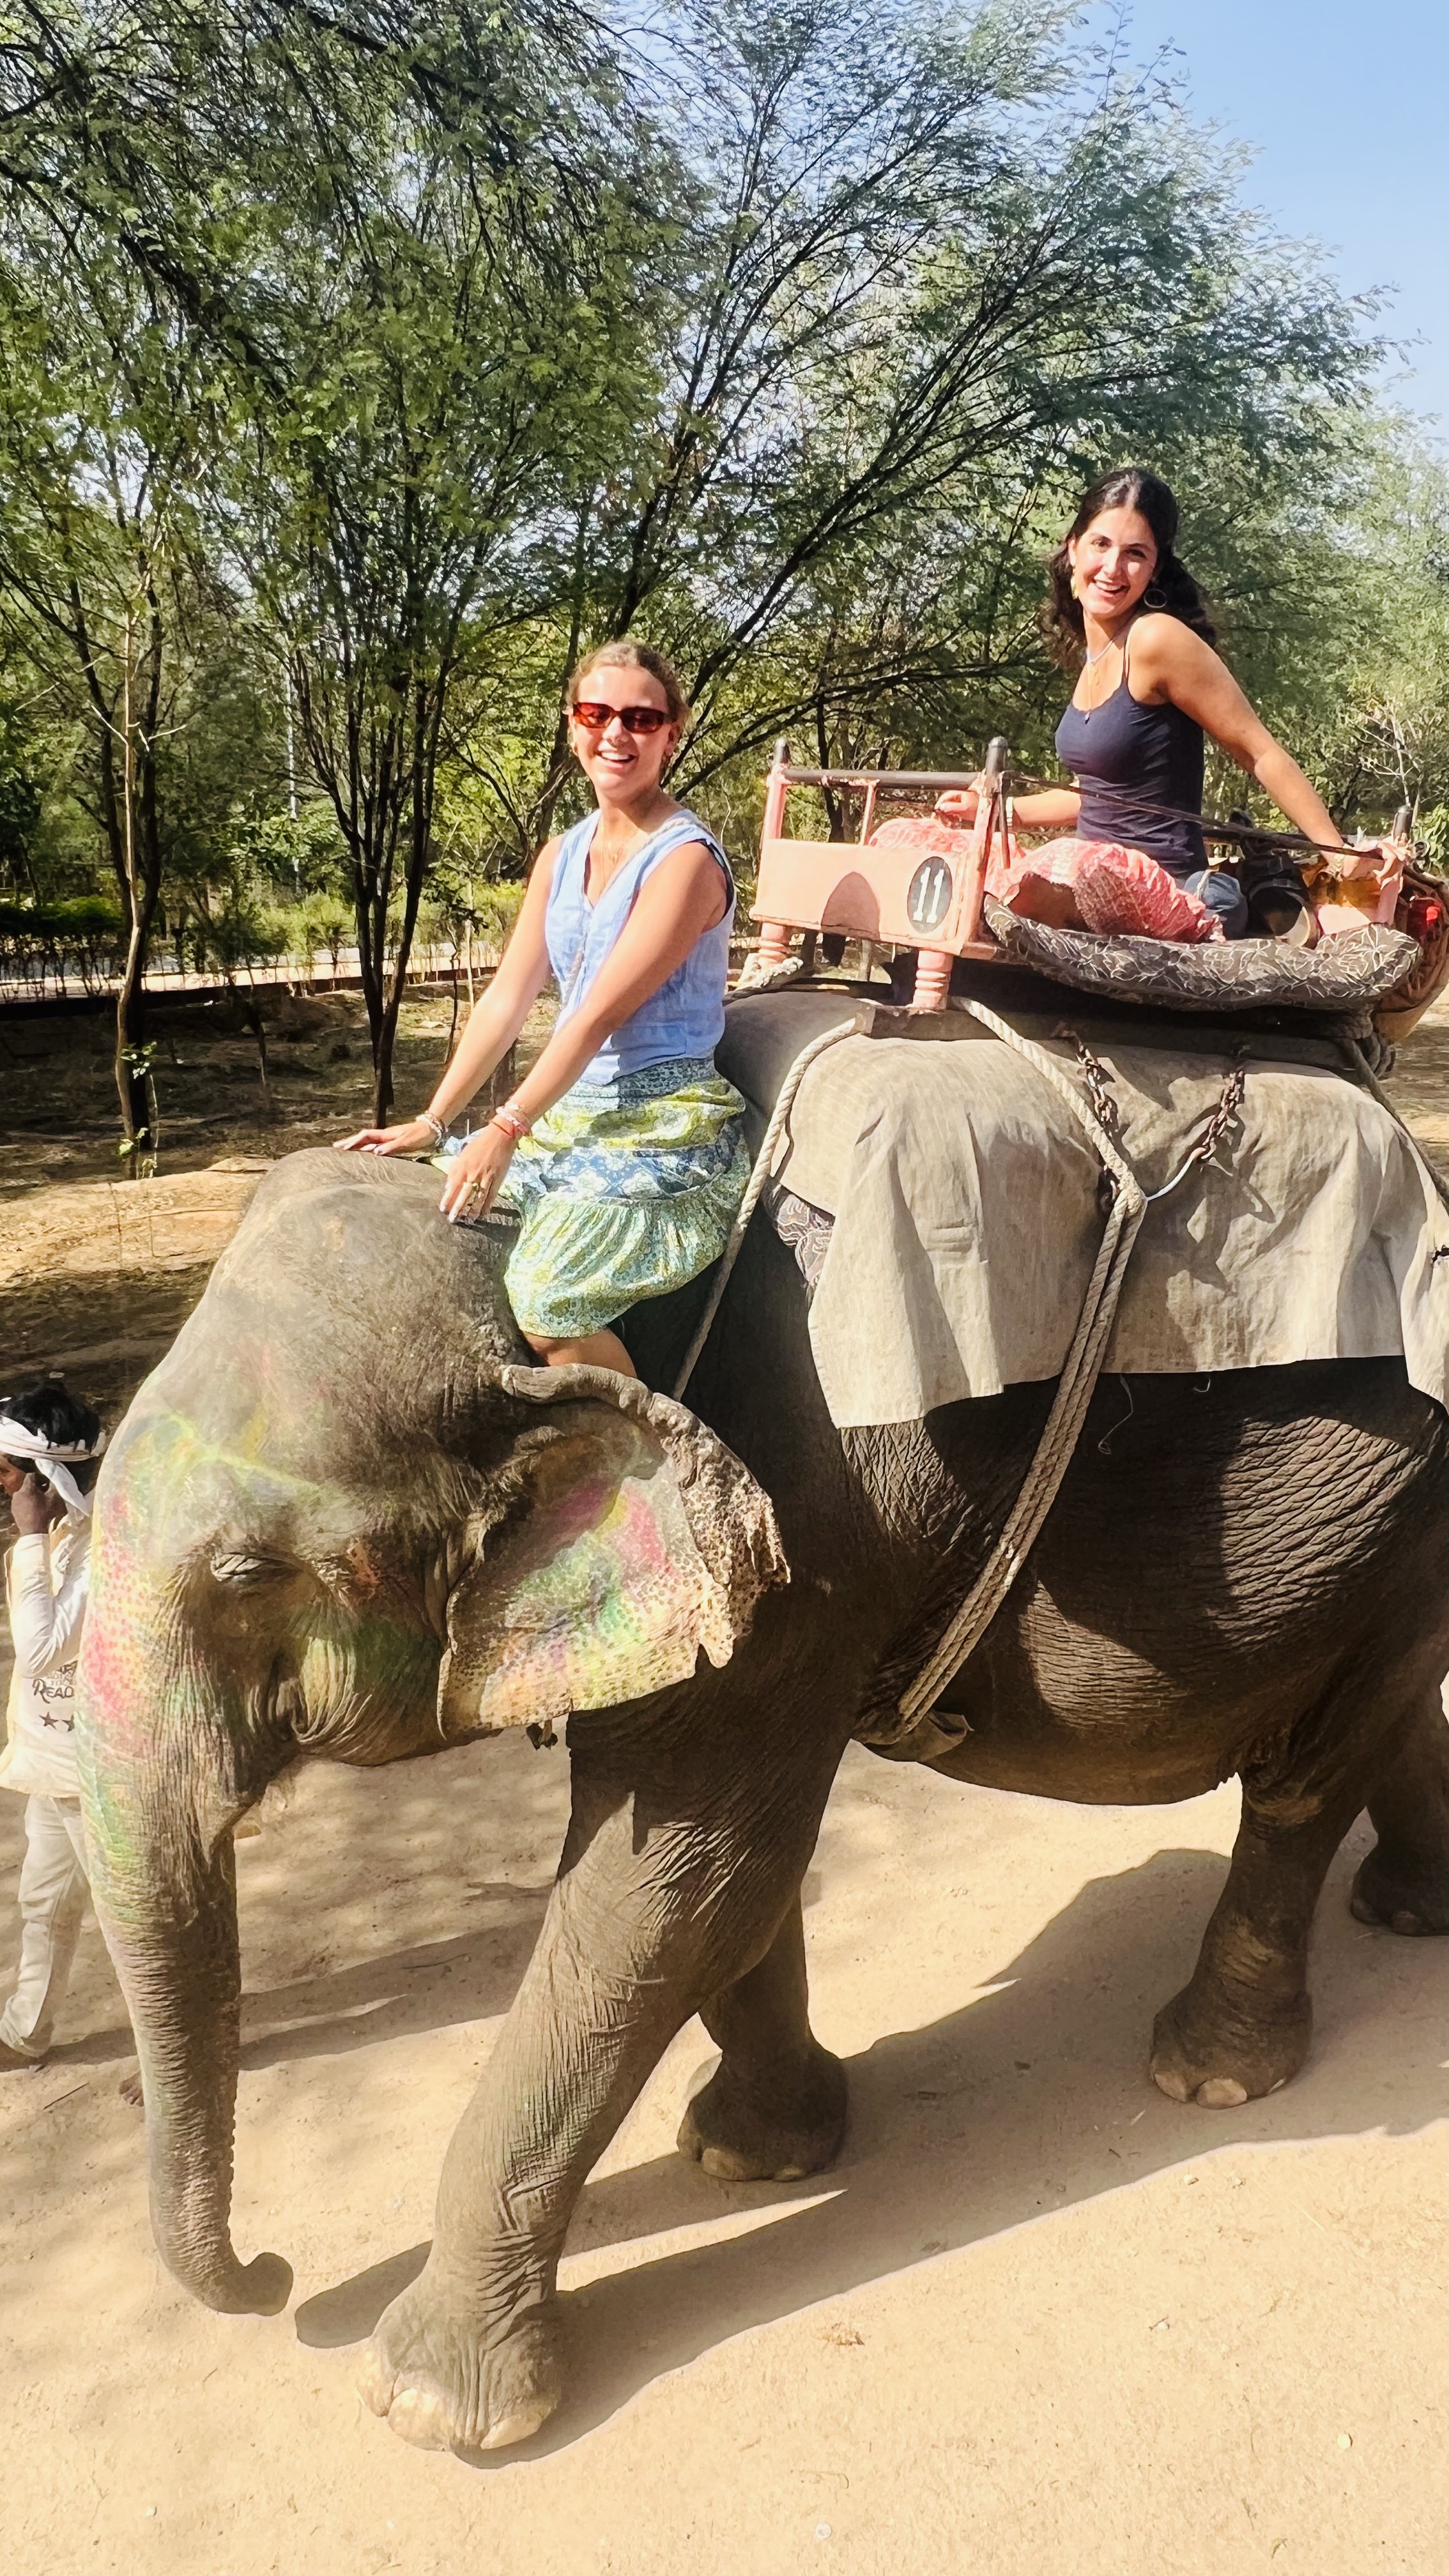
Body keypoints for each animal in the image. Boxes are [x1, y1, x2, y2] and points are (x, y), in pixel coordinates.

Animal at [74, 1143, 1449, 2455]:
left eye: (247, 1574)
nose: (275, 2278)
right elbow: (727, 1881)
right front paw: (750, 2155)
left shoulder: (806, 1532)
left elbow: (674, 1887)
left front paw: (435, 2406)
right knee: (1384, 1714)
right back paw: (1407, 1911)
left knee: (1303, 1779)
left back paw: (1211, 2073)